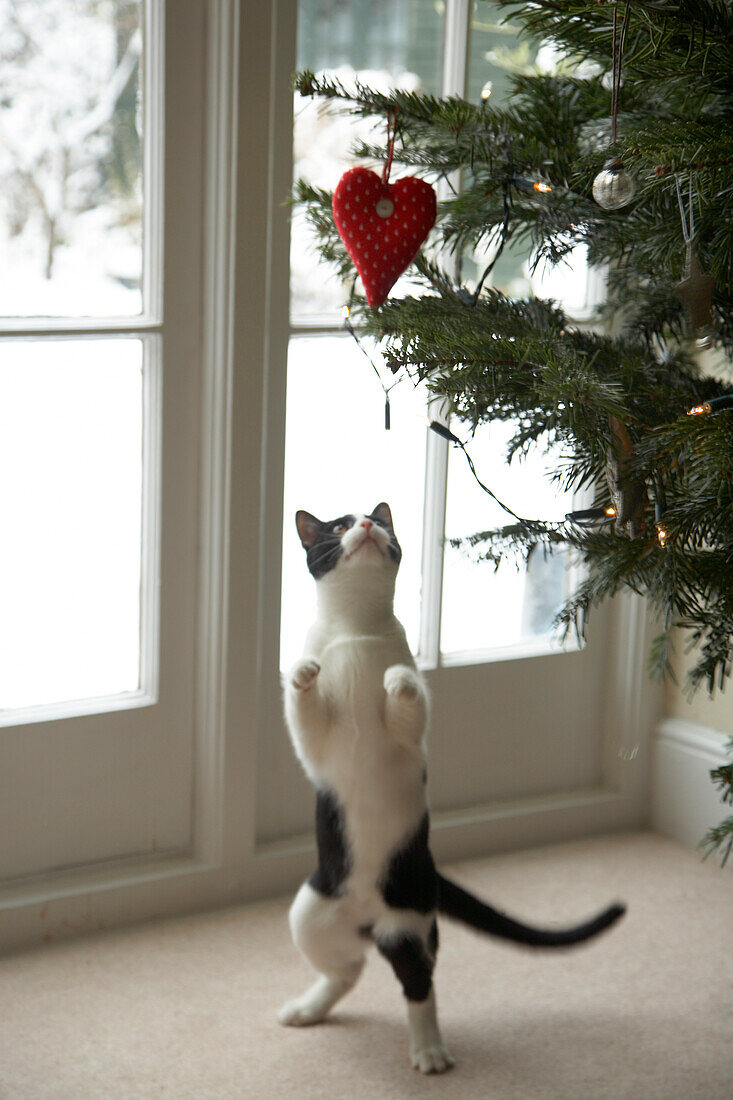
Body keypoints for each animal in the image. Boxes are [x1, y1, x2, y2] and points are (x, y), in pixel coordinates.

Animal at [277, 506, 620, 1073]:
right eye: (336, 527)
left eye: (378, 522)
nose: (368, 525)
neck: (355, 630)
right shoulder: (315, 746)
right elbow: (305, 713)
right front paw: (301, 673)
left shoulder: (407, 735)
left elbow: (410, 698)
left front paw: (397, 681)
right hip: (310, 913)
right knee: (347, 970)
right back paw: (307, 1008)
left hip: (409, 926)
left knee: (419, 985)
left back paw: (430, 1050)